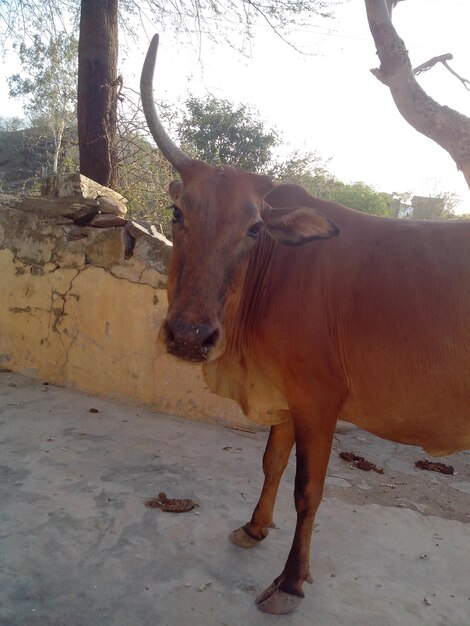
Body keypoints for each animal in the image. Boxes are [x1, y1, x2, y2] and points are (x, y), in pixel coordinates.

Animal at [141, 33, 470, 608]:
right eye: (179, 213)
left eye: (254, 228)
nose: (189, 336)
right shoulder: (286, 393)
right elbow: (271, 462)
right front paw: (253, 528)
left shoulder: (319, 400)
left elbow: (308, 491)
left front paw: (291, 580)